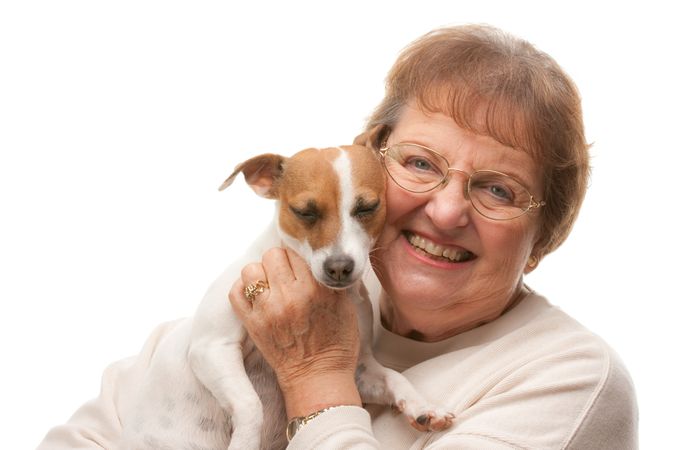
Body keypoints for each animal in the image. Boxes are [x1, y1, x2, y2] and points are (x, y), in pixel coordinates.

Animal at [118, 128, 454, 448]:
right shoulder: (212, 348)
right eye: (304, 211)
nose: (339, 267)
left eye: (367, 208)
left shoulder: (359, 370)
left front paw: (422, 406)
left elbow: (393, 377)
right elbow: (250, 404)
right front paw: (245, 443)